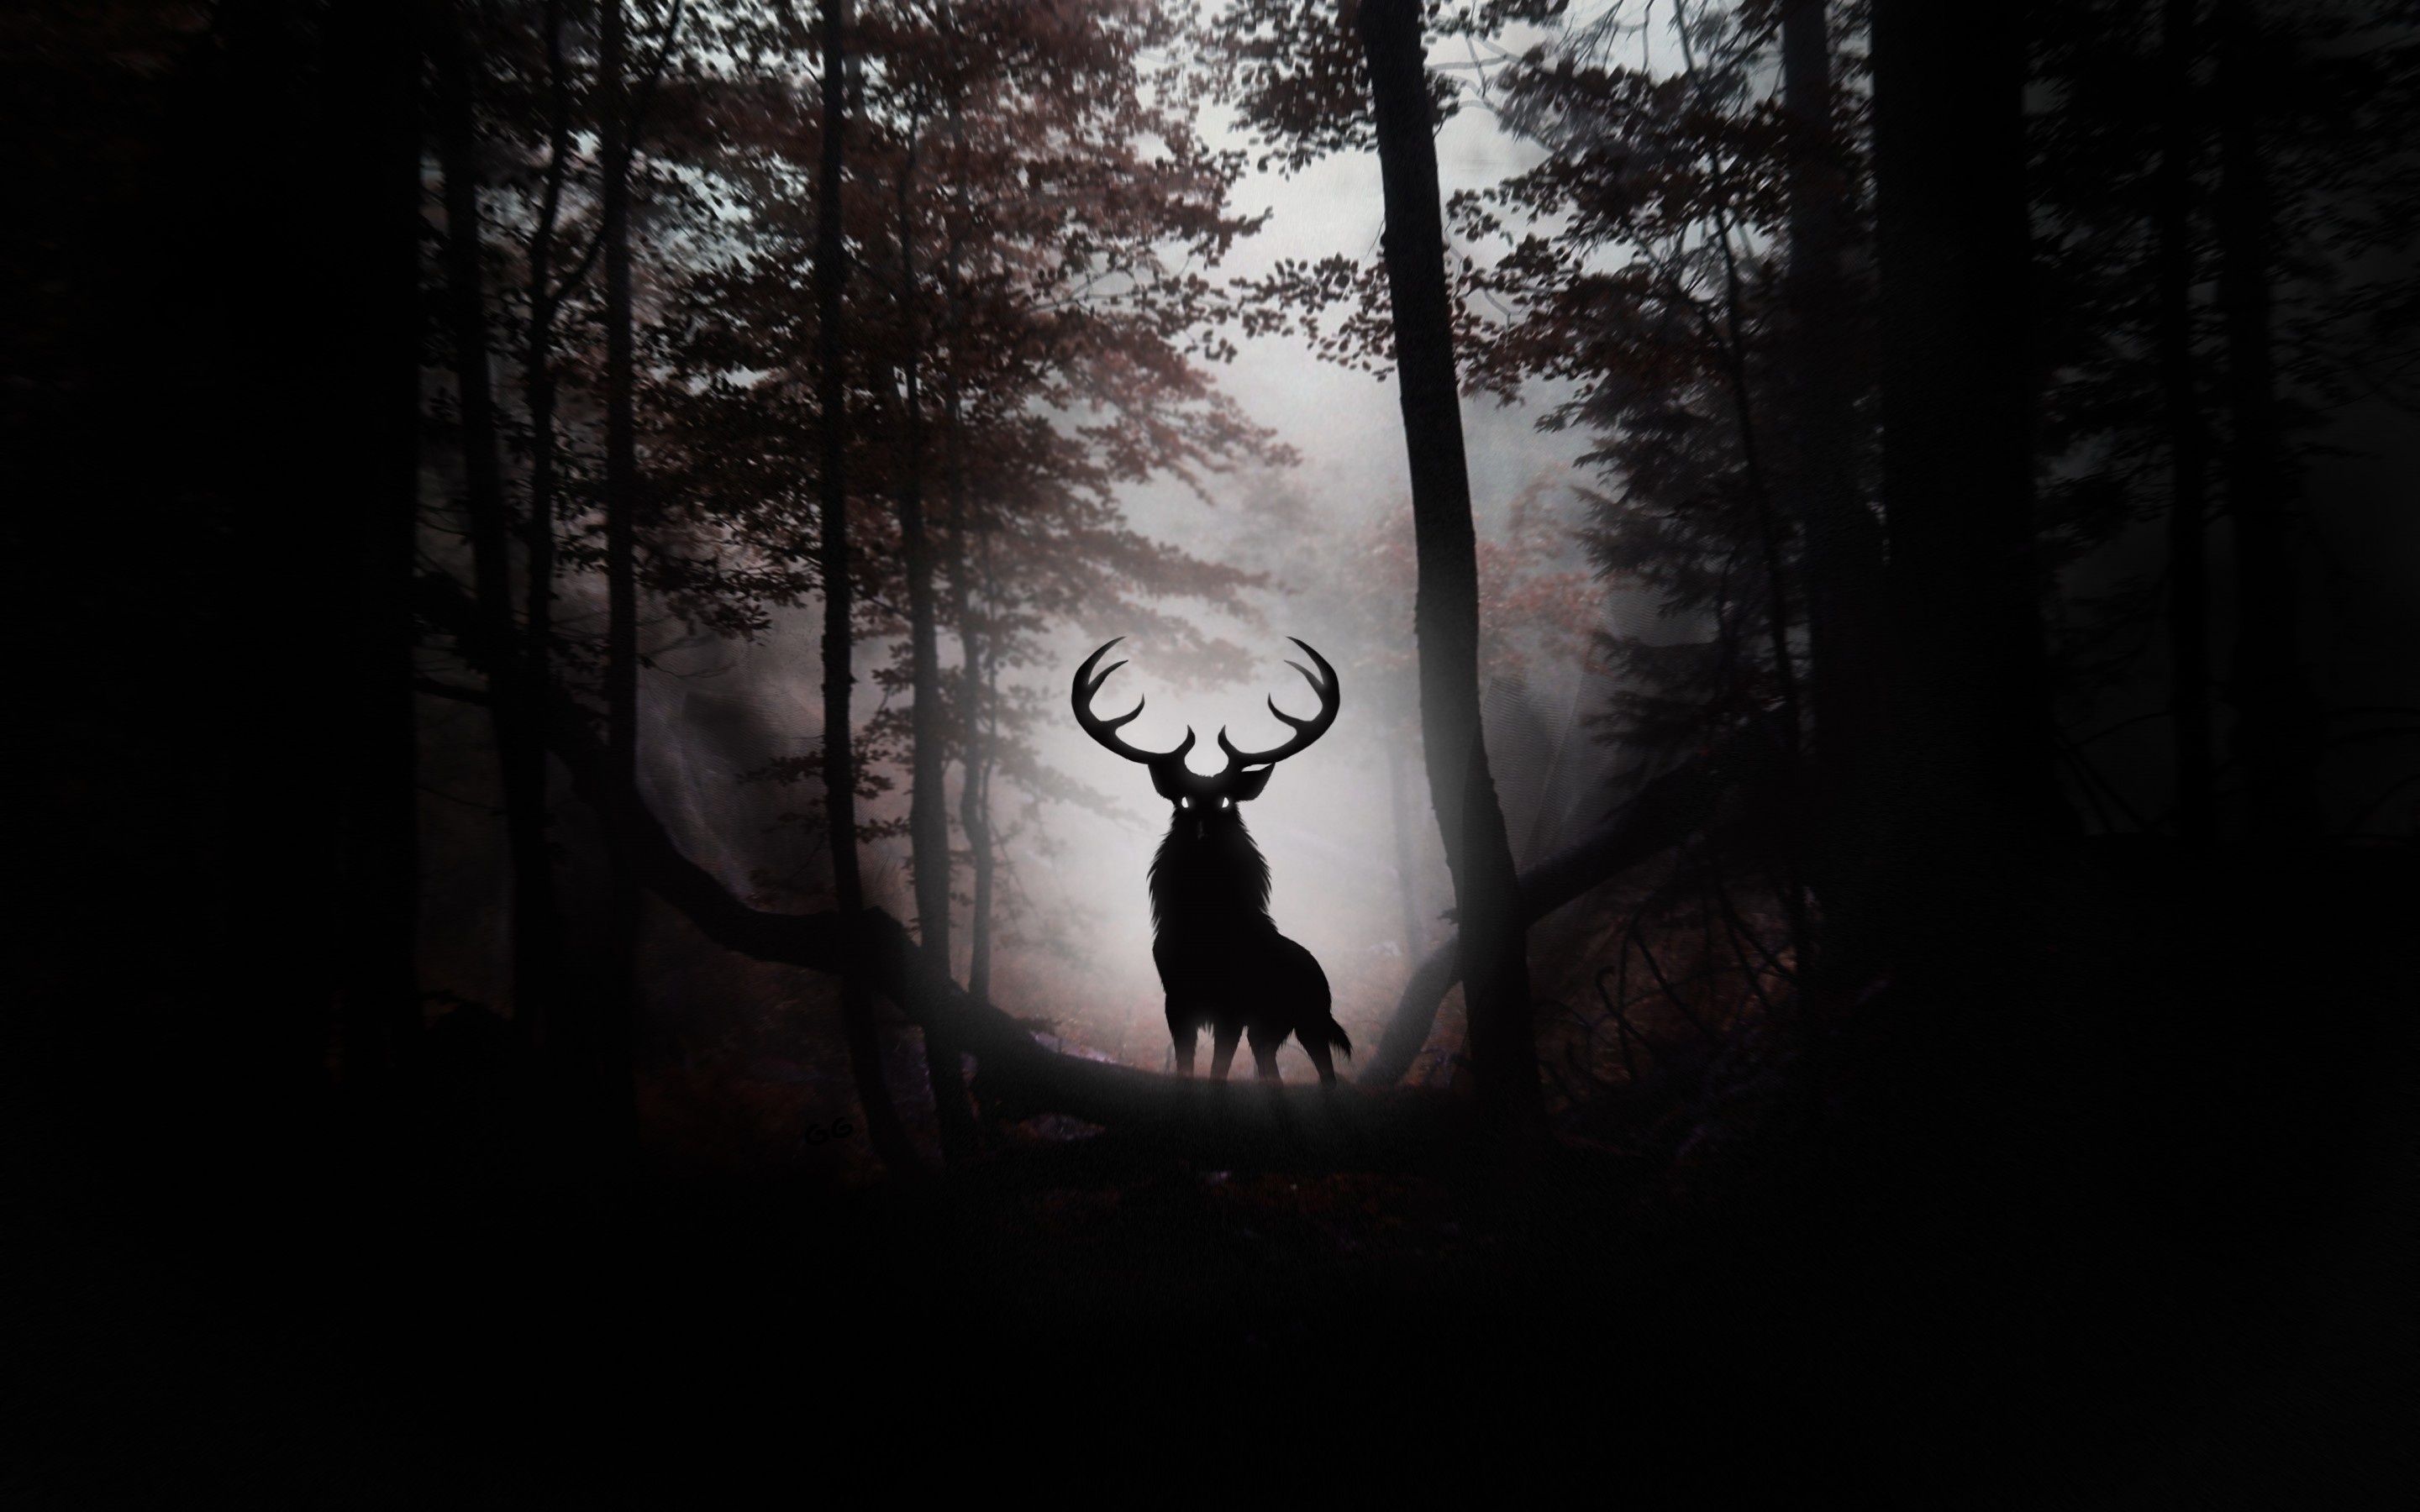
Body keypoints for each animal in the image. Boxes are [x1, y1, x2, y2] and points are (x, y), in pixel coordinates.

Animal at [1072, 637, 1353, 1085]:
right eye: (1184, 801)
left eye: (1225, 801)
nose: (1203, 832)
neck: (1205, 932)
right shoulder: (1176, 1000)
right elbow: (1186, 1066)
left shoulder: (1232, 1007)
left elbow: (1218, 1071)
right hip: (1270, 1030)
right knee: (1271, 1071)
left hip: (1310, 1018)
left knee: (1326, 1073)